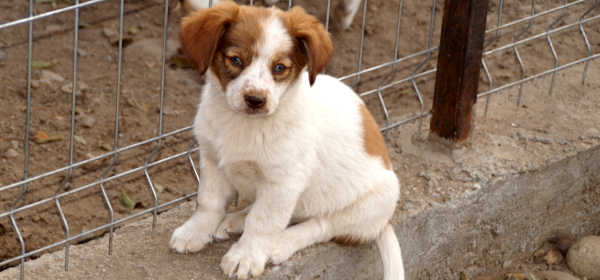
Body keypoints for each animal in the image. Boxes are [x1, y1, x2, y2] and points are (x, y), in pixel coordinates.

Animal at [169, 2, 406, 280]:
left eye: (280, 68)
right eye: (236, 60)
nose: (255, 100)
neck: (245, 125)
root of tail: (384, 223)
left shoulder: (283, 181)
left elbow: (263, 221)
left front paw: (245, 256)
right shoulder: (212, 160)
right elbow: (209, 201)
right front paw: (195, 231)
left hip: (371, 203)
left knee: (321, 225)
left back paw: (280, 243)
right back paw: (235, 220)